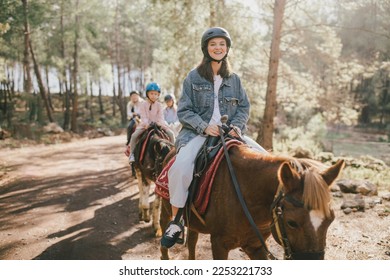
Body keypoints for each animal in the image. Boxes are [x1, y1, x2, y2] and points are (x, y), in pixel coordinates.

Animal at [158, 144, 344, 260]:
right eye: (291, 222)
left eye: (331, 220)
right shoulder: (219, 244)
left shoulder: (255, 246)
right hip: (166, 208)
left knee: (192, 240)